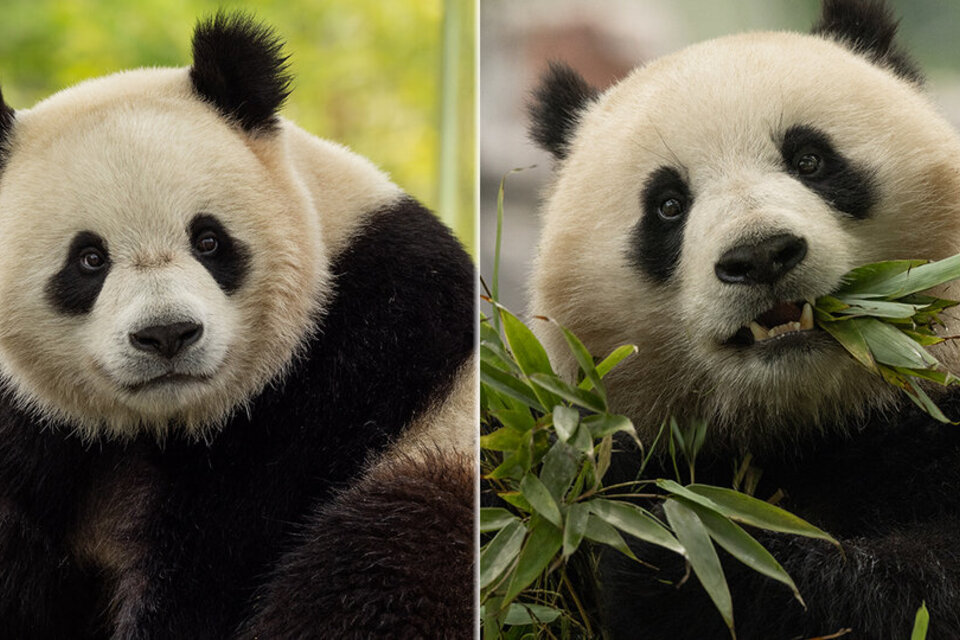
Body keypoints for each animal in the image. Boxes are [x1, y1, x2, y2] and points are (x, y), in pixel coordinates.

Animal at [0, 13, 476, 640]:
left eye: (208, 240)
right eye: (89, 259)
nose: (167, 335)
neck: (161, 425)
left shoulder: (339, 376)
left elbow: (212, 564)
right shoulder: (38, 430)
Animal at [528, 1, 960, 640]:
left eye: (810, 159)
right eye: (667, 205)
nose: (760, 255)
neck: (800, 422)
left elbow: (917, 594)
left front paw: (682, 558)